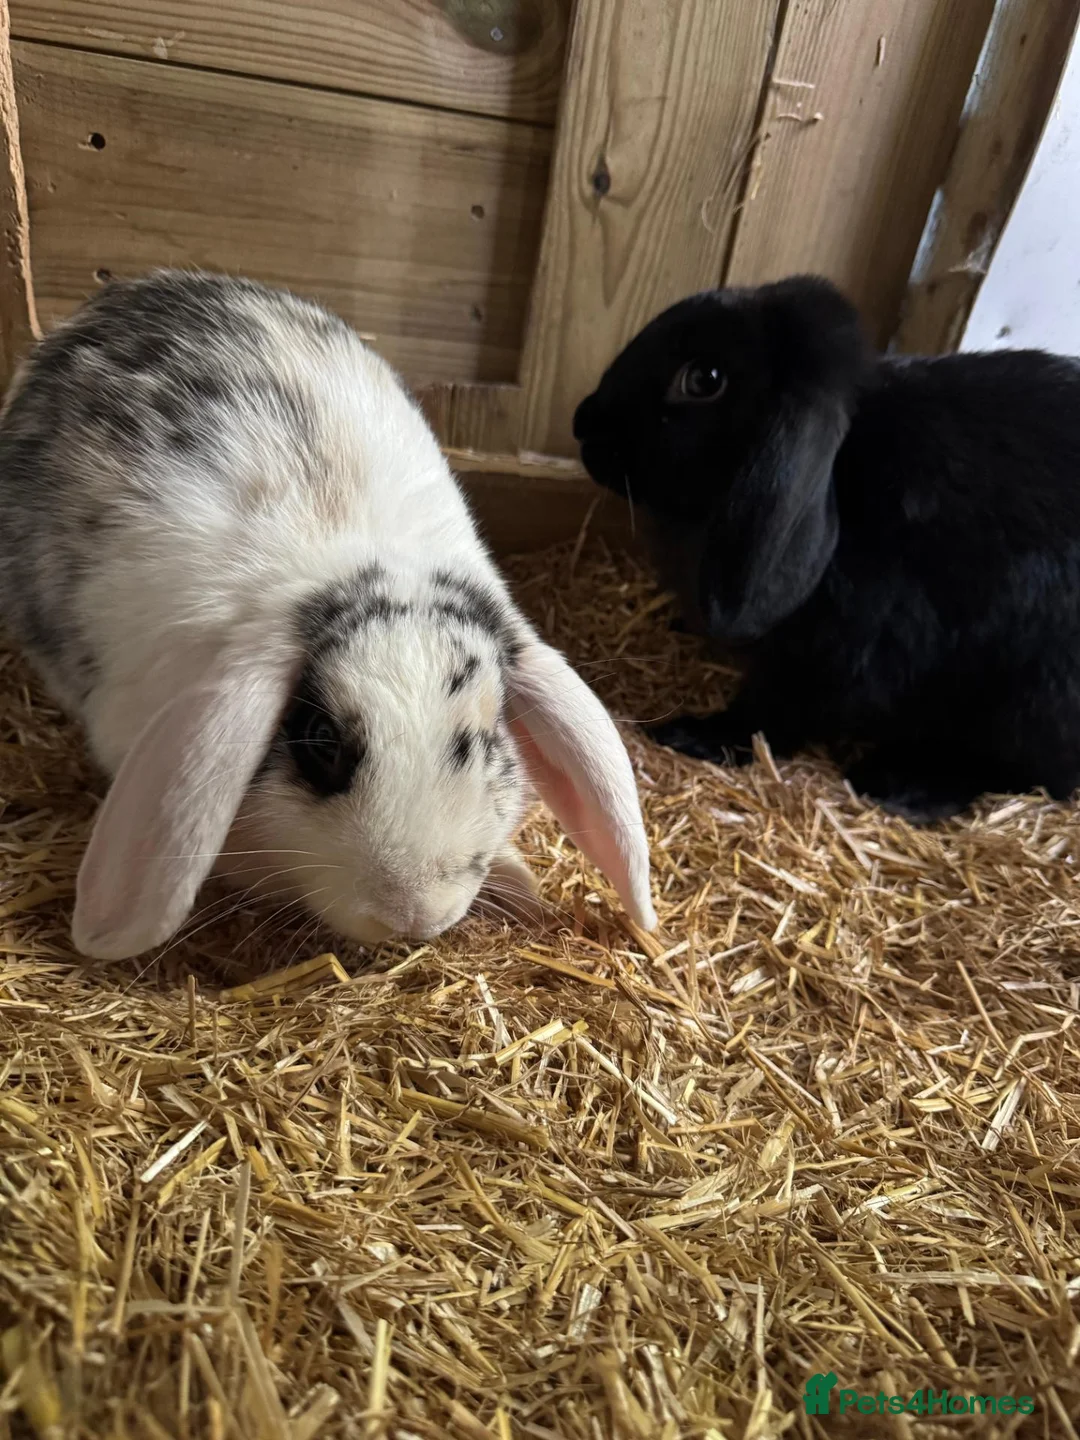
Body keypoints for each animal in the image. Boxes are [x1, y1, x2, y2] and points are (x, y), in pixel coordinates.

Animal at [573, 273, 1080, 822]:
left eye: (704, 379)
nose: (582, 420)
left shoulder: (840, 652)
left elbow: (773, 709)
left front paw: (696, 736)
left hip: (1030, 702)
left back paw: (897, 786)